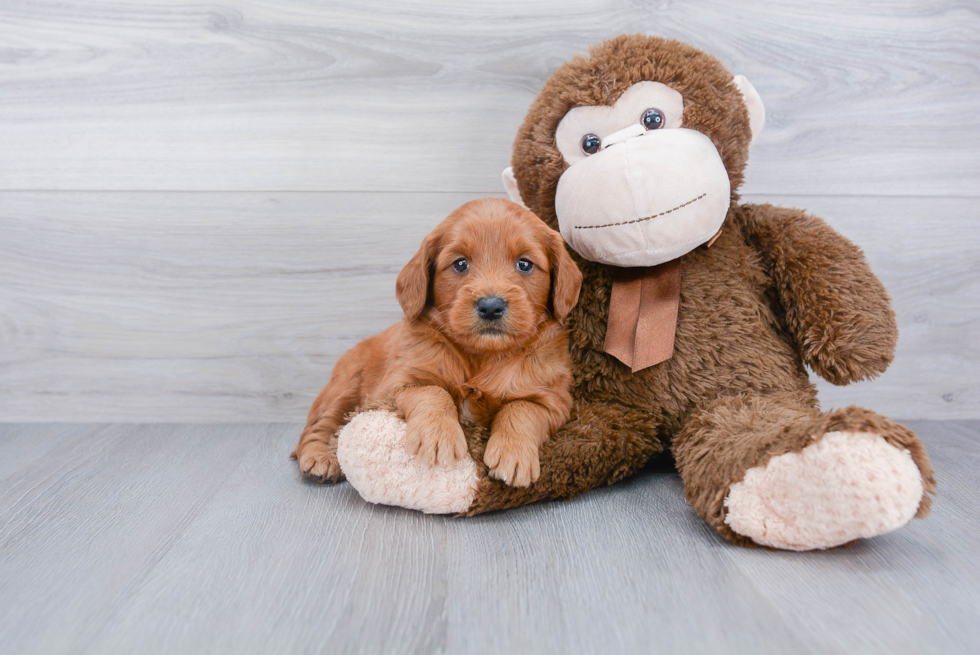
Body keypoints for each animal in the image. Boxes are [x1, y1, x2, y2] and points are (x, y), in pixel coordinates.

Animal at [290, 197, 580, 490]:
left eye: (524, 264)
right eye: (460, 264)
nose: (490, 306)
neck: (480, 356)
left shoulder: (553, 400)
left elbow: (521, 409)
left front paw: (514, 453)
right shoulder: (394, 386)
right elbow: (432, 392)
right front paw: (439, 437)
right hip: (345, 384)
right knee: (319, 426)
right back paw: (321, 458)